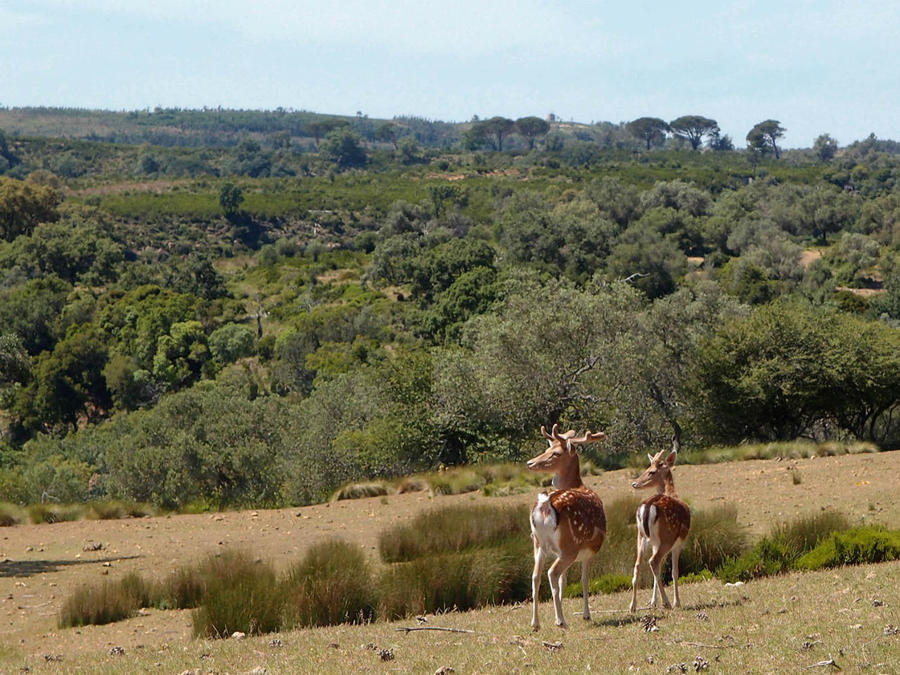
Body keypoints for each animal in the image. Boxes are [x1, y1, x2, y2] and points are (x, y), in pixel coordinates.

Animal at [524, 426, 608, 632]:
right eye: (548, 448)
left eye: (555, 452)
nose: (530, 463)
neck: (578, 484)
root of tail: (545, 504)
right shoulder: (591, 550)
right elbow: (584, 579)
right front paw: (586, 615)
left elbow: (564, 581)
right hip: (570, 546)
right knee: (551, 573)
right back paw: (562, 621)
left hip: (539, 544)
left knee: (536, 576)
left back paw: (535, 623)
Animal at [628, 430, 692, 616]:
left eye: (651, 471)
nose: (634, 483)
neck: (672, 493)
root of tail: (647, 507)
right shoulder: (679, 542)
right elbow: (675, 572)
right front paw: (677, 602)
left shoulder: (655, 543)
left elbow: (660, 572)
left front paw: (652, 602)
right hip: (667, 537)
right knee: (653, 561)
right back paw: (668, 603)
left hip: (641, 537)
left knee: (638, 564)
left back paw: (632, 606)